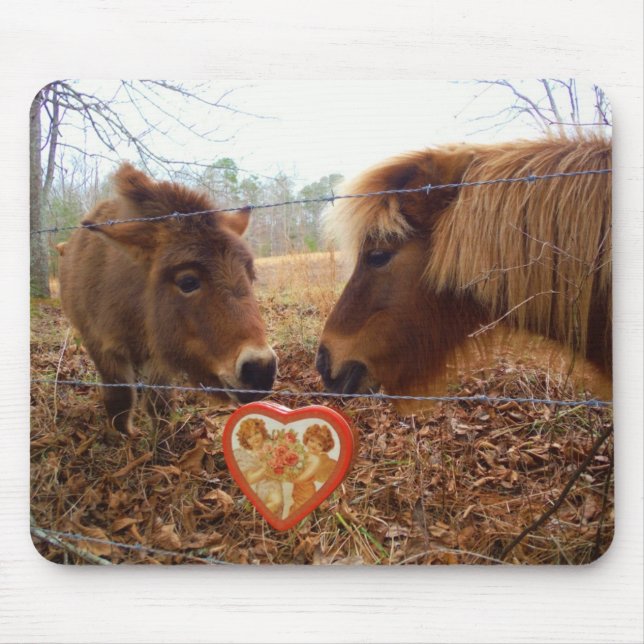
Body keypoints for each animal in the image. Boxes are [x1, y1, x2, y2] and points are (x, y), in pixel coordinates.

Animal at [59, 163, 277, 441]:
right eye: (188, 282)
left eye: (251, 276)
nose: (261, 370)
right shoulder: (100, 346)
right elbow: (119, 397)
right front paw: (123, 436)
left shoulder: (158, 353)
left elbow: (159, 401)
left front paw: (163, 437)